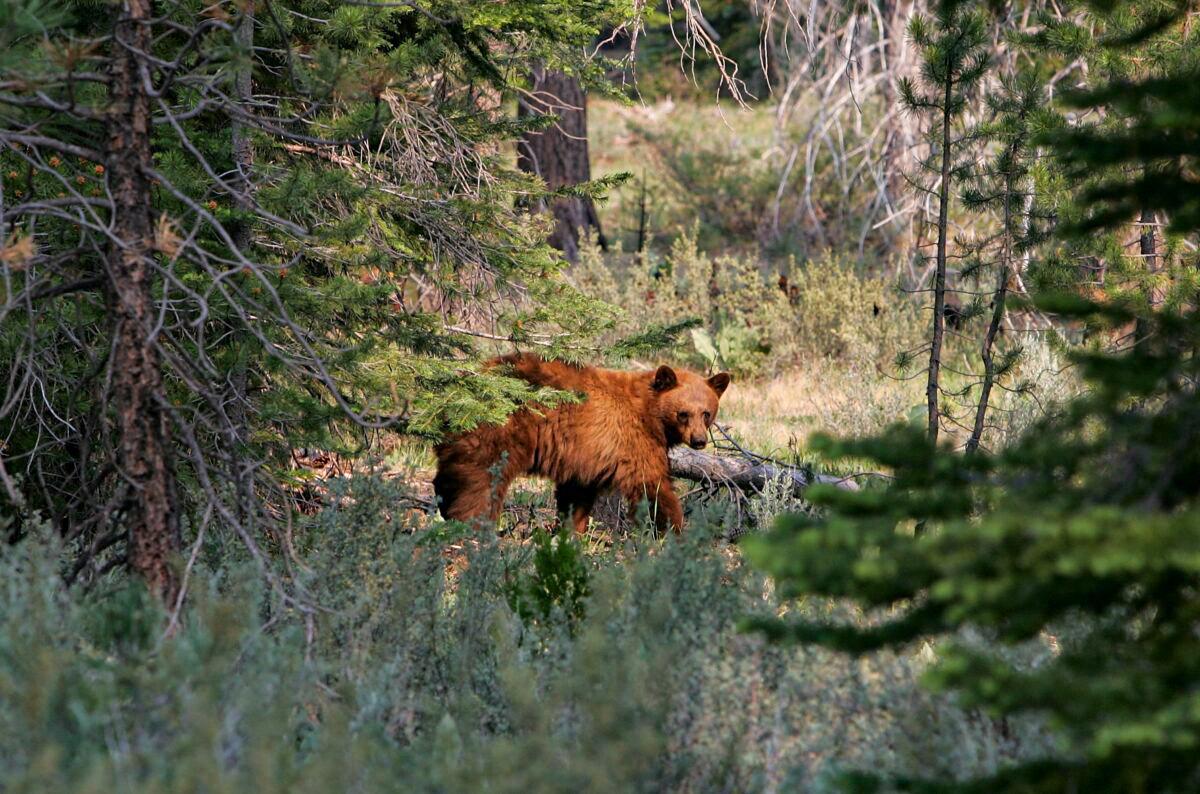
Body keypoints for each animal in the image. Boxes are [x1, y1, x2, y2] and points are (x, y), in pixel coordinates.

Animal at [433, 354, 731, 534]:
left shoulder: (586, 453)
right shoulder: (633, 440)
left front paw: (570, 531)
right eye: (683, 413)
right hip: (500, 430)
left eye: (706, 413)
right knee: (481, 480)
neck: (650, 413)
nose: (699, 441)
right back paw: (473, 524)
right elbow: (651, 485)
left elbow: (576, 493)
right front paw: (673, 530)